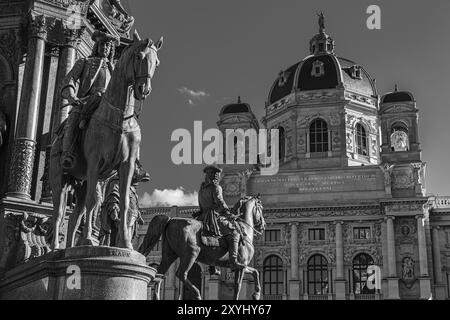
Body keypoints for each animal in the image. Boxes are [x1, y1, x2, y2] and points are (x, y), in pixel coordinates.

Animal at [50, 30, 163, 250]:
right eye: (139, 56)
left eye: (157, 62)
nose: (144, 89)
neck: (119, 116)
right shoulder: (95, 162)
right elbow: (93, 202)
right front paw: (87, 240)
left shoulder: (126, 165)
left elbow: (124, 204)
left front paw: (126, 243)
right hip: (60, 175)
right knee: (59, 211)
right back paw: (55, 247)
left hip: (81, 182)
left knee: (75, 216)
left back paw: (70, 247)